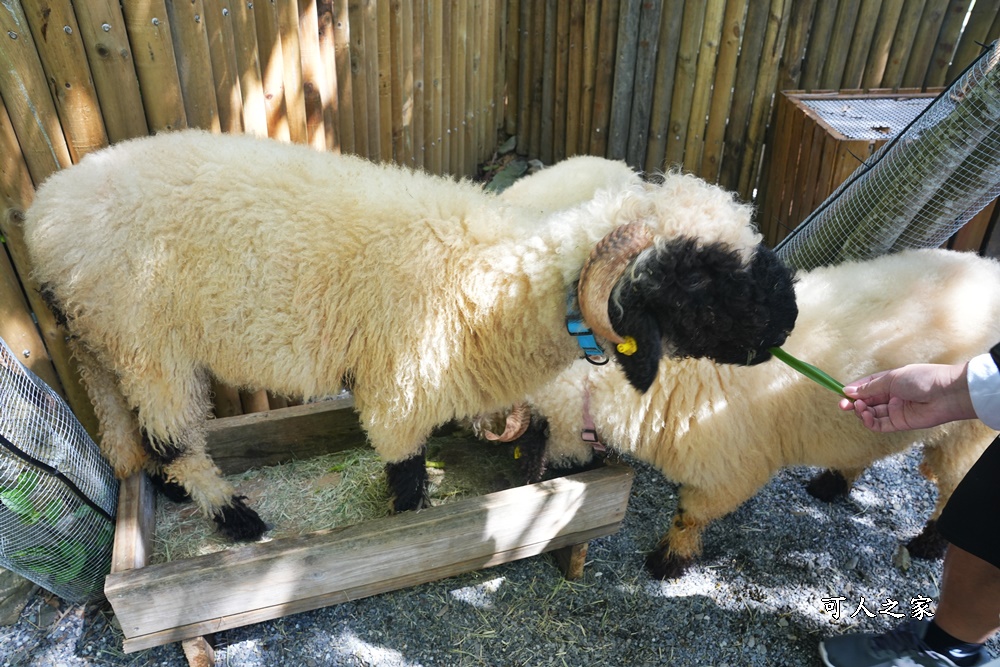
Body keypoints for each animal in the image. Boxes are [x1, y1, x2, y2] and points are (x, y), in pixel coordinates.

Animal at [17, 132, 796, 544]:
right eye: (697, 280)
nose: (785, 325)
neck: (490, 286)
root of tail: (41, 214)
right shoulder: (398, 390)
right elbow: (407, 471)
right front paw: (408, 520)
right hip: (147, 338)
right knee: (171, 434)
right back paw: (233, 515)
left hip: (98, 340)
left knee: (127, 430)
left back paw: (168, 492)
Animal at [516, 249, 1000, 580]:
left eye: (535, 431)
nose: (529, 480)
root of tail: (986, 265)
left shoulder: (729, 469)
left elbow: (687, 514)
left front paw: (667, 562)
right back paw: (830, 484)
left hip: (970, 435)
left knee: (953, 487)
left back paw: (928, 544)